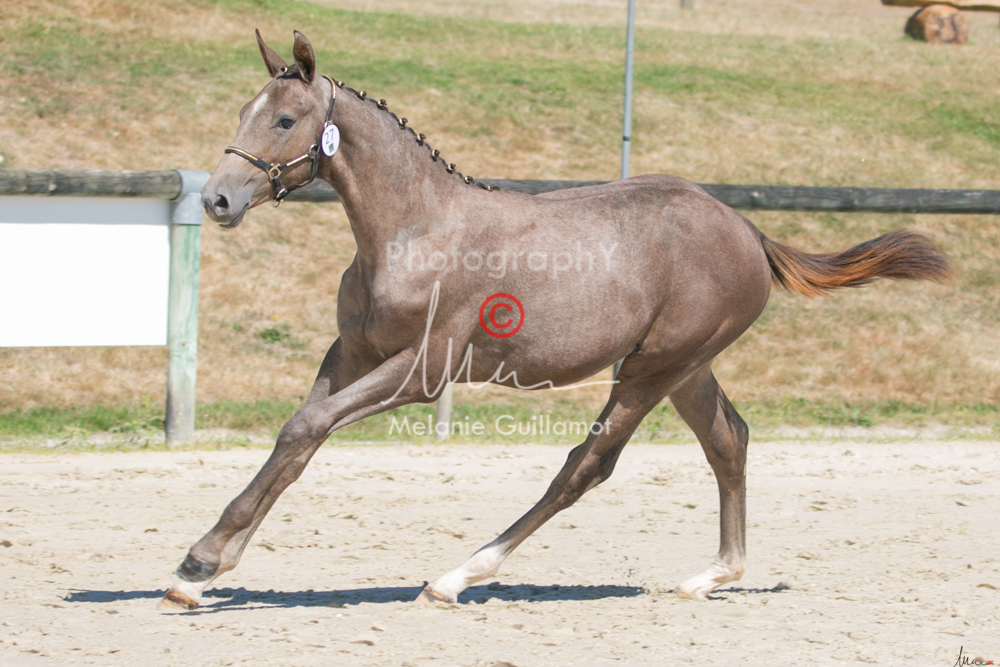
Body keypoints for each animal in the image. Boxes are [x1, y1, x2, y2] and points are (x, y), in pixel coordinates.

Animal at [159, 30, 950, 611]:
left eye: (285, 119)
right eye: (244, 111)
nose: (219, 199)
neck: (413, 228)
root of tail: (748, 229)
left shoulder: (423, 369)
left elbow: (306, 427)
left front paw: (198, 560)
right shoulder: (351, 353)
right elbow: (298, 437)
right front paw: (206, 568)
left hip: (652, 369)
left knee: (586, 466)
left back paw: (458, 576)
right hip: (686, 366)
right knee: (729, 441)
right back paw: (711, 575)